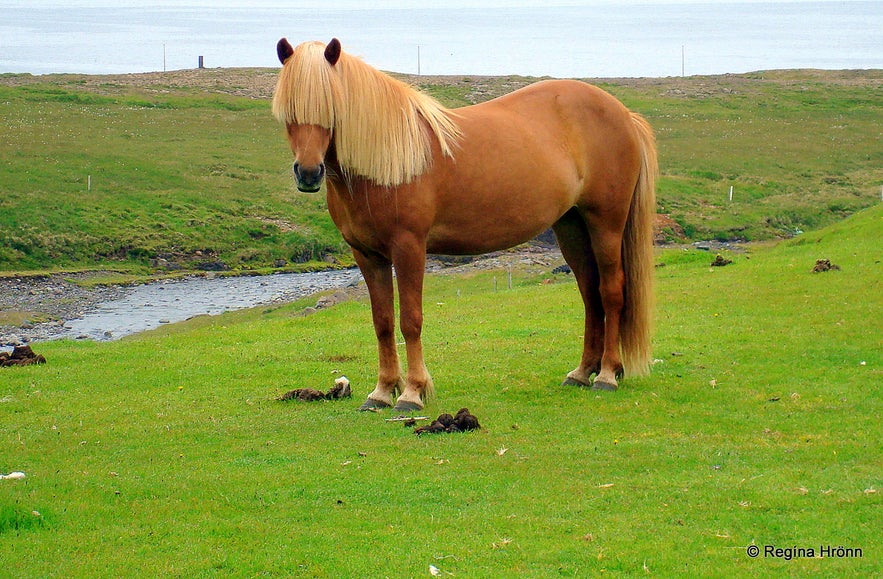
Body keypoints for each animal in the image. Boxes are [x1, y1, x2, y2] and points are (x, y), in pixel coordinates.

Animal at [272, 38, 660, 412]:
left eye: (330, 106)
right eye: (288, 111)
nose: (309, 173)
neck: (388, 161)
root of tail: (623, 114)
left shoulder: (409, 247)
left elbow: (410, 319)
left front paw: (412, 392)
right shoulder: (367, 255)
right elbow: (382, 323)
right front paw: (381, 392)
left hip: (606, 224)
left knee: (610, 292)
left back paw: (607, 374)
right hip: (571, 228)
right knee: (590, 294)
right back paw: (581, 372)